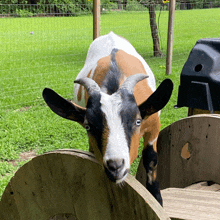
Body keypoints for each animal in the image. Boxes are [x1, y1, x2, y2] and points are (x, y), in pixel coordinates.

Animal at [43, 31, 173, 206]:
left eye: (137, 121)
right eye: (88, 126)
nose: (115, 166)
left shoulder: (153, 125)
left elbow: (150, 158)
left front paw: (156, 199)